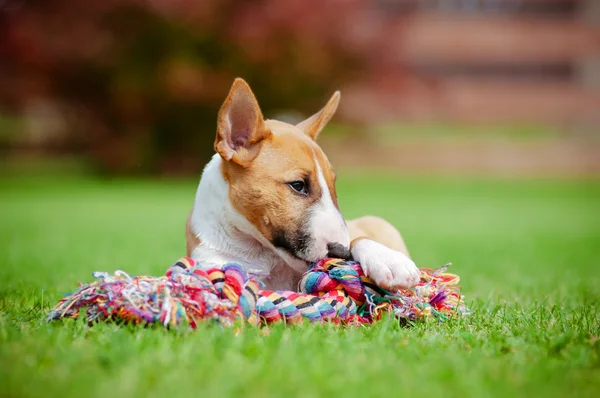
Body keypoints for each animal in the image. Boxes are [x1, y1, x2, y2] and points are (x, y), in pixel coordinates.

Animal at [185, 77, 420, 290]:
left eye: (333, 186)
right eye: (298, 185)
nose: (341, 253)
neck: (262, 252)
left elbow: (357, 238)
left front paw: (389, 261)